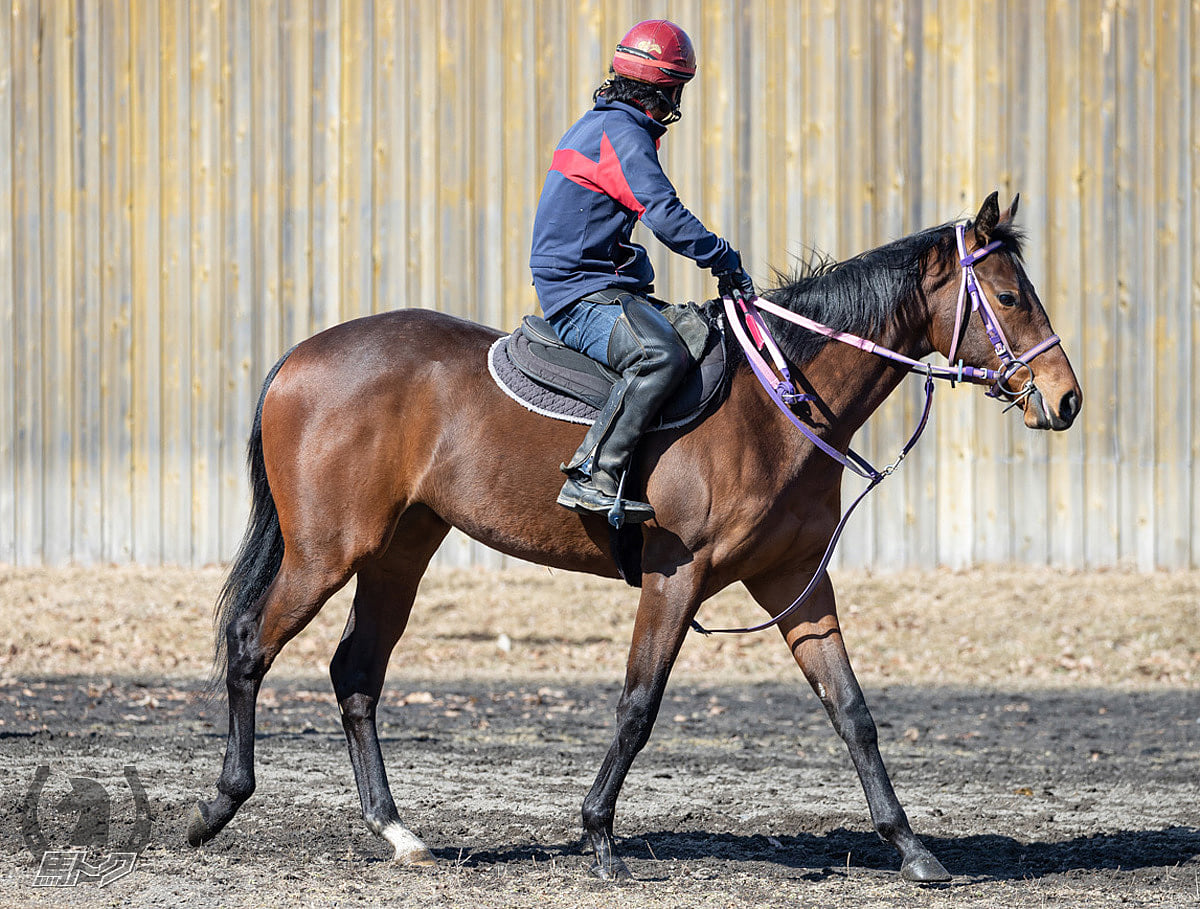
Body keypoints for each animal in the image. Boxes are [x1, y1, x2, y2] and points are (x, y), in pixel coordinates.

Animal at [189, 191, 1089, 882]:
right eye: (1012, 298)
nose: (1066, 397)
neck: (777, 398)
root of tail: (301, 357)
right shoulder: (676, 575)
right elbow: (638, 704)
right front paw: (598, 836)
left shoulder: (796, 582)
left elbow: (852, 711)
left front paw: (911, 848)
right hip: (325, 552)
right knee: (250, 643)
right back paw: (218, 804)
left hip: (399, 552)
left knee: (356, 672)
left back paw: (397, 830)